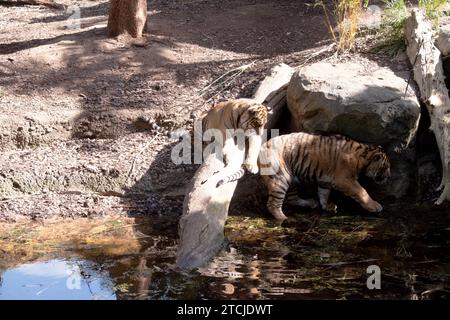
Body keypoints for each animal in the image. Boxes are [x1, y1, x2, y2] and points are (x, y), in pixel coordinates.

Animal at [258, 132, 392, 220]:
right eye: (385, 167)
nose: (389, 177)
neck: (364, 156)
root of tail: (262, 147)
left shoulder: (325, 180)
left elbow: (324, 194)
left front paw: (327, 206)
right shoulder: (345, 180)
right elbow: (361, 191)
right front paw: (375, 206)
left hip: (292, 179)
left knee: (291, 198)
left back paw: (310, 203)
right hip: (280, 178)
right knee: (272, 204)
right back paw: (283, 218)